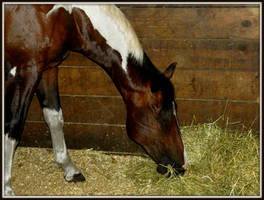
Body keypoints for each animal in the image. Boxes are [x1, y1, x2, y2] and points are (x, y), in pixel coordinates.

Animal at [4, 4, 188, 195]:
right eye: (159, 111)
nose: (181, 165)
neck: (66, 16)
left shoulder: (48, 68)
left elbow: (54, 118)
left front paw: (69, 168)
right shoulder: (25, 72)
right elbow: (13, 127)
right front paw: (7, 187)